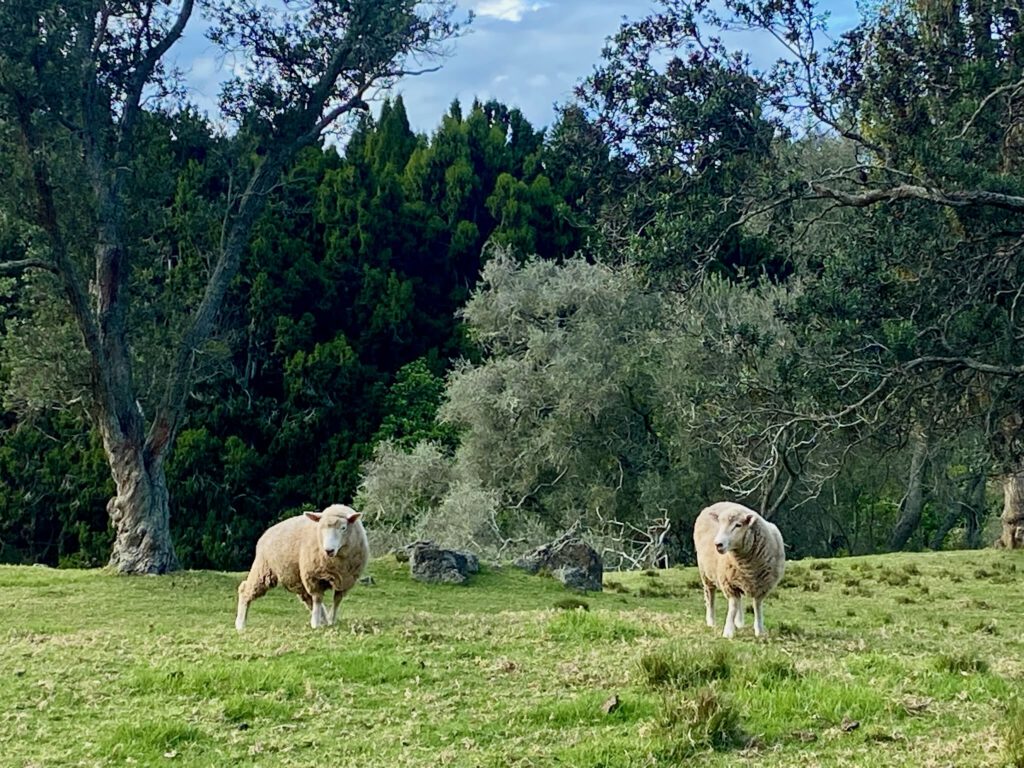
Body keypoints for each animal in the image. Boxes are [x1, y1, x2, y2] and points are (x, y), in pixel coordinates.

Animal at [234, 505, 368, 630]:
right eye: (321, 527)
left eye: (343, 528)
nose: (328, 550)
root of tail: (266, 533)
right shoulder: (313, 577)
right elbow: (317, 598)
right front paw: (315, 624)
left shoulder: (346, 580)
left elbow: (337, 600)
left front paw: (331, 620)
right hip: (264, 569)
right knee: (245, 589)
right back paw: (240, 624)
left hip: (296, 577)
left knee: (308, 598)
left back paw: (324, 620)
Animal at [692, 501, 786, 638]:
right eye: (720, 524)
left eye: (738, 525)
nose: (718, 544)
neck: (748, 567)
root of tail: (717, 504)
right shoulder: (729, 583)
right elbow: (732, 607)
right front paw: (728, 632)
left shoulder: (762, 586)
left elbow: (757, 606)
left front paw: (759, 630)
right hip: (705, 572)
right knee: (710, 596)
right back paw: (711, 622)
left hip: (738, 579)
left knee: (739, 600)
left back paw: (739, 622)